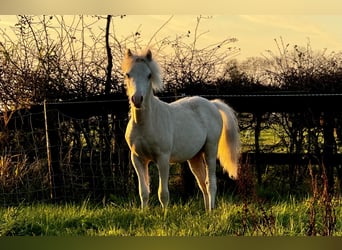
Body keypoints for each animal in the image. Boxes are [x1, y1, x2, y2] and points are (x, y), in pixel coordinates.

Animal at [123, 48, 240, 211]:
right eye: (128, 74)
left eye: (149, 75)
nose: (137, 99)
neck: (144, 124)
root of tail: (212, 104)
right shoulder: (138, 159)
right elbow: (143, 191)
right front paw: (144, 213)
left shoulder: (163, 159)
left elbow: (163, 193)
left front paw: (165, 215)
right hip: (195, 157)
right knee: (202, 184)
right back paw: (207, 212)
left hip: (210, 150)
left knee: (211, 183)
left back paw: (211, 211)